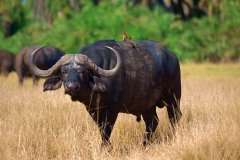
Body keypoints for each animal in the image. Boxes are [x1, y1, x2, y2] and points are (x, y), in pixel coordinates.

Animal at [29, 40, 181, 146]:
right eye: (63, 72)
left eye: (83, 72)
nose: (72, 87)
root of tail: (172, 57)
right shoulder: (92, 109)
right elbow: (101, 128)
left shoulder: (112, 109)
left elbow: (107, 128)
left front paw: (105, 148)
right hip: (147, 105)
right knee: (152, 122)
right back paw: (144, 144)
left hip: (173, 98)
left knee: (175, 117)